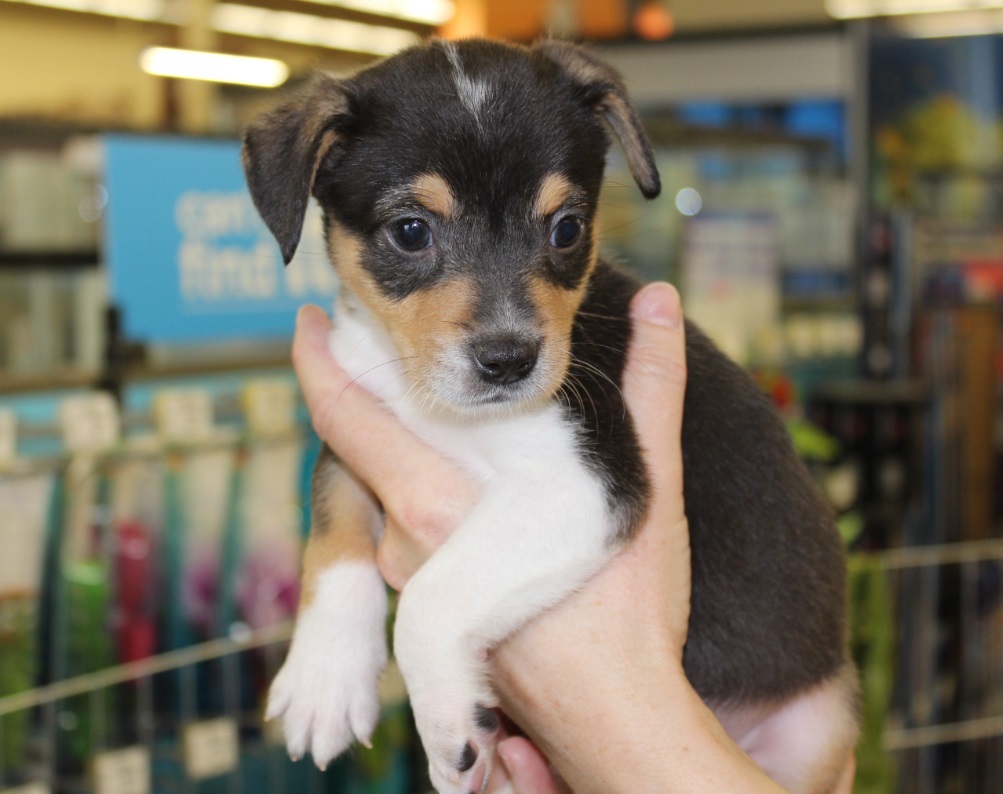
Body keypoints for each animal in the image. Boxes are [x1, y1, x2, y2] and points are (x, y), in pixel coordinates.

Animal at [244, 38, 862, 793]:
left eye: (566, 229)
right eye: (410, 232)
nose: (509, 359)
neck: (440, 407)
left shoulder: (585, 483)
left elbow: (428, 596)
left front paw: (447, 726)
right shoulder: (355, 427)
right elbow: (332, 532)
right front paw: (324, 678)